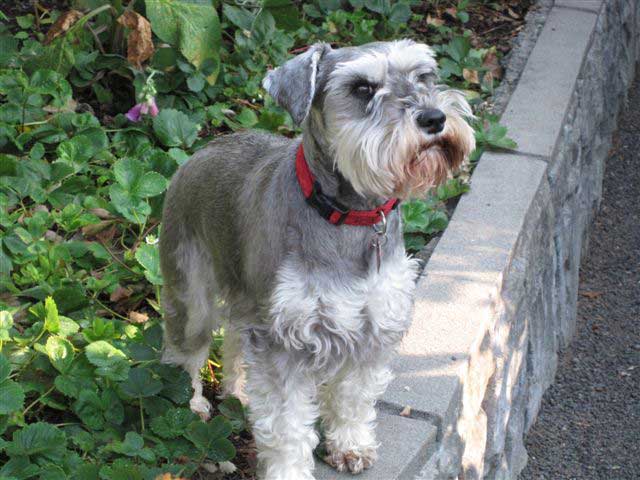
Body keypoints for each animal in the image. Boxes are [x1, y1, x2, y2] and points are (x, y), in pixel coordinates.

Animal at [160, 38, 476, 480]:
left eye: (424, 76)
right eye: (362, 88)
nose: (434, 117)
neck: (350, 217)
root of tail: (200, 151)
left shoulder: (371, 328)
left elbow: (353, 397)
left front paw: (350, 445)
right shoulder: (282, 342)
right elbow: (287, 425)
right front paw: (289, 470)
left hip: (247, 299)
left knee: (235, 343)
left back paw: (238, 393)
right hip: (192, 297)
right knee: (183, 351)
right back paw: (191, 404)